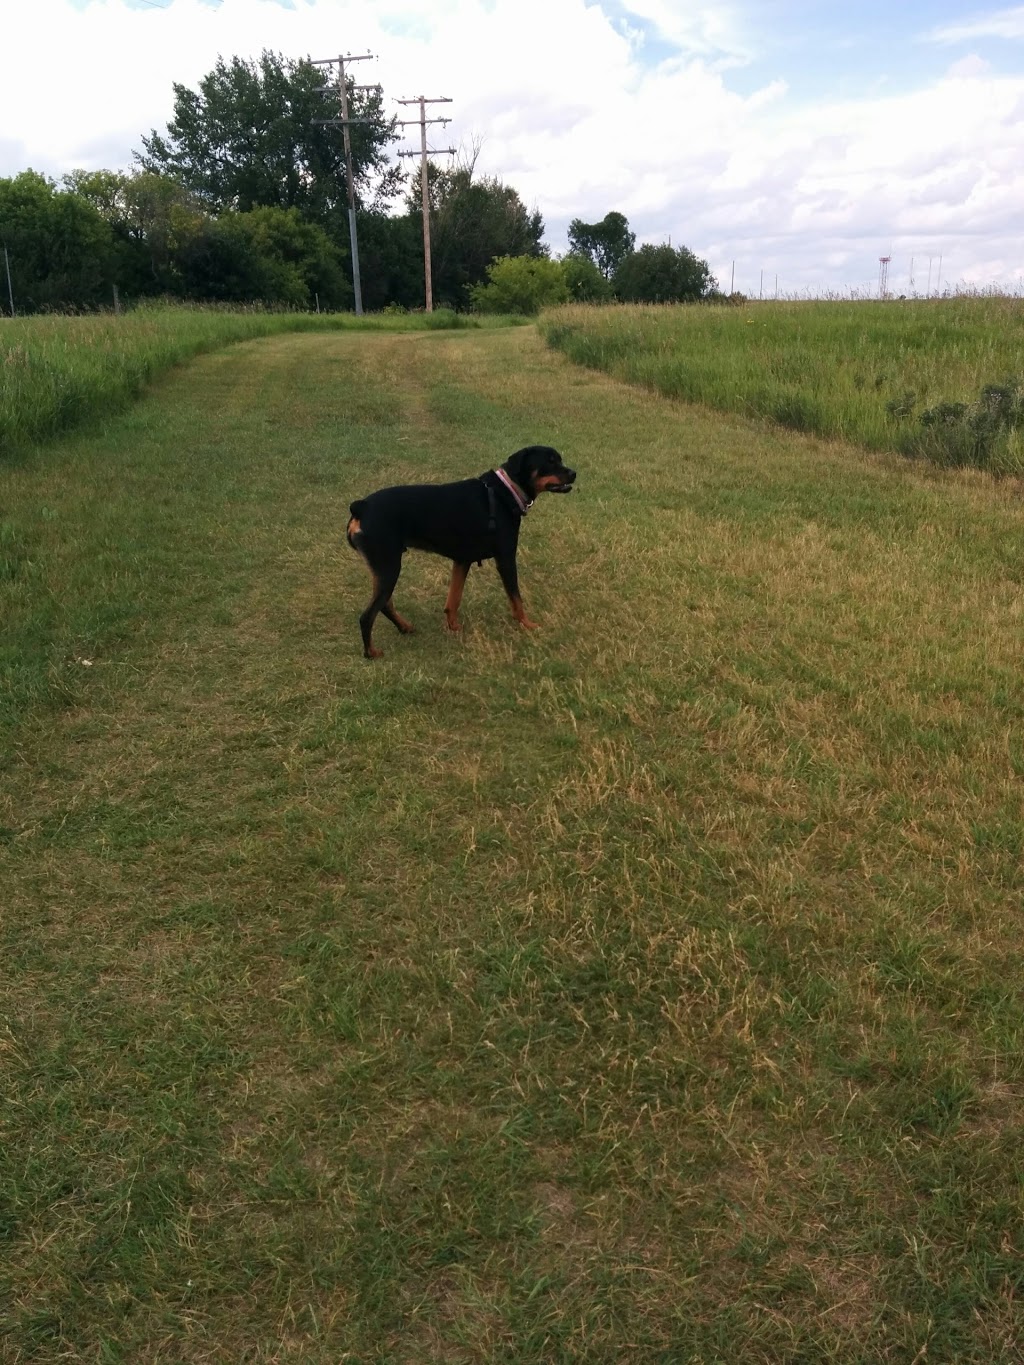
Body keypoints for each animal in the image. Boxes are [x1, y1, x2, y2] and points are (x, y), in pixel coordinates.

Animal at [349, 444, 578, 657]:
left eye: (559, 459)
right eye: (550, 462)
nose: (574, 473)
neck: (504, 492)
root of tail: (361, 507)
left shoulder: (462, 561)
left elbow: (454, 599)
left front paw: (454, 628)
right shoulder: (505, 558)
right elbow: (516, 599)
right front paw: (527, 625)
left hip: (382, 568)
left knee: (384, 605)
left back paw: (404, 627)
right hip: (388, 565)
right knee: (368, 615)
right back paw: (371, 652)